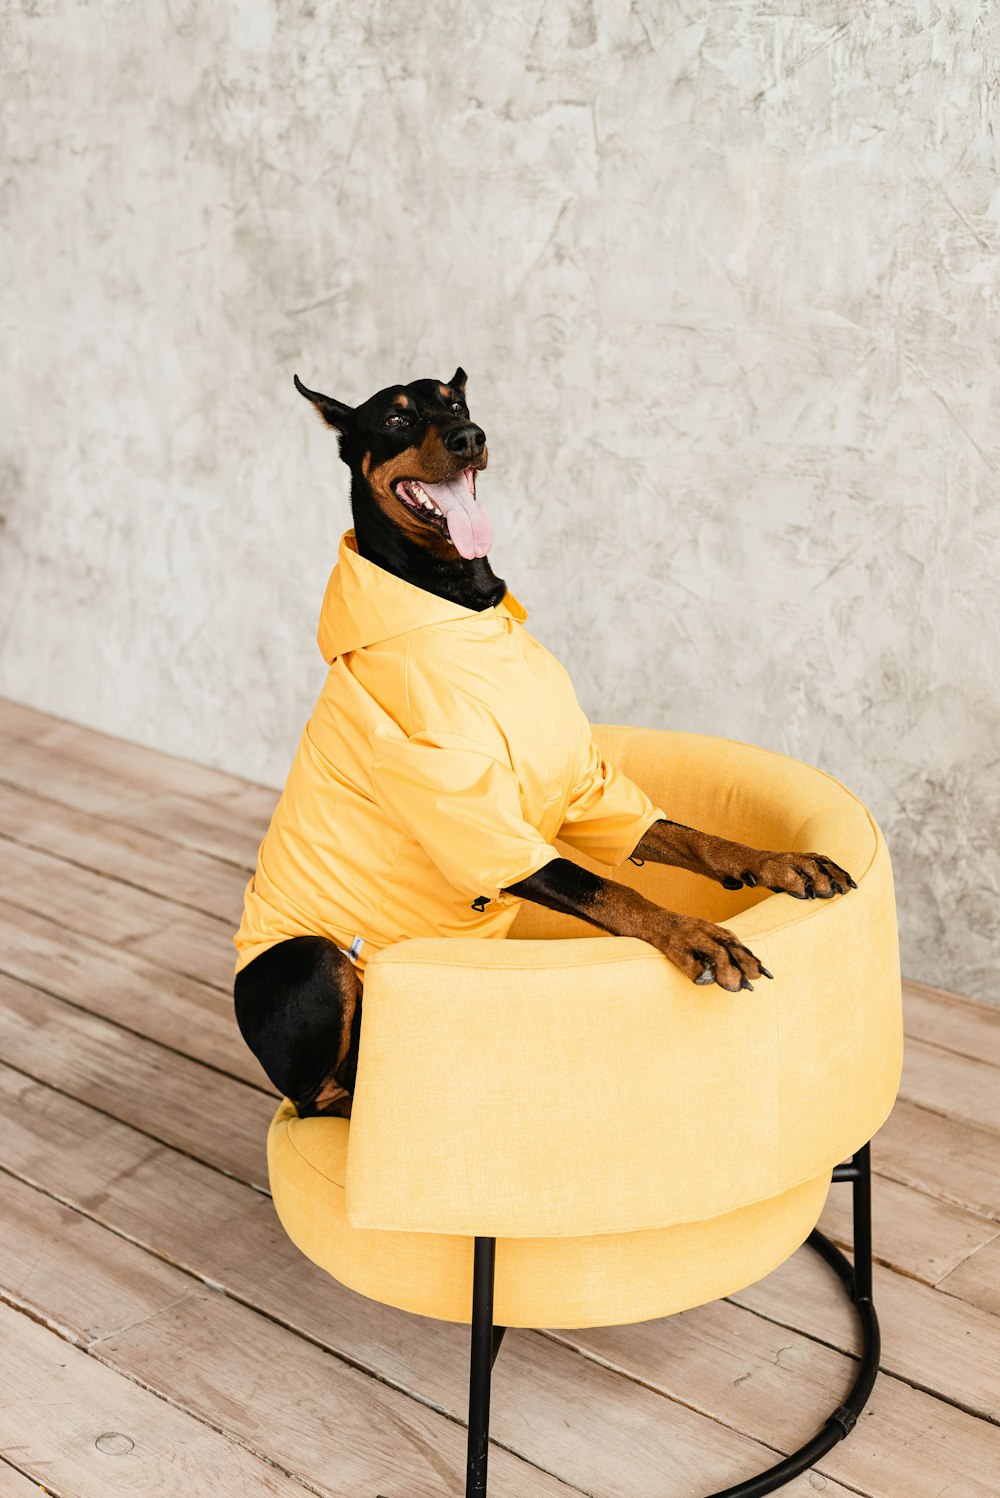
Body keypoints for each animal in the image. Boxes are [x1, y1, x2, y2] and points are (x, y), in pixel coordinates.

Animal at [230, 368, 856, 1120]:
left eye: (457, 402)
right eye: (397, 418)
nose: (471, 437)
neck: (459, 603)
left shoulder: (585, 785)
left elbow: (685, 835)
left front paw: (780, 862)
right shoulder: (483, 827)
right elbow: (612, 890)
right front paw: (696, 936)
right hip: (311, 963)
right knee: (320, 1097)